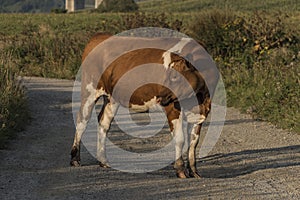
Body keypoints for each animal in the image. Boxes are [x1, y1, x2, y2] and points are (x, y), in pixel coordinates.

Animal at [70, 32, 216, 178]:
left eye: (175, 77)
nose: (160, 98)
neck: (200, 98)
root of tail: (100, 36)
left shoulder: (200, 113)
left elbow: (194, 142)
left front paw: (194, 172)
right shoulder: (173, 109)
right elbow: (180, 139)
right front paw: (180, 170)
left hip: (111, 99)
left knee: (103, 123)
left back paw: (103, 161)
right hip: (89, 90)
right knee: (82, 121)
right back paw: (75, 159)